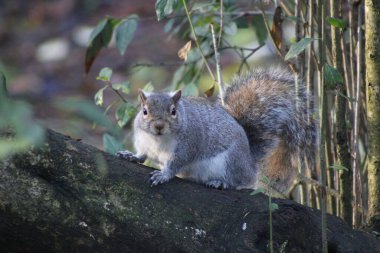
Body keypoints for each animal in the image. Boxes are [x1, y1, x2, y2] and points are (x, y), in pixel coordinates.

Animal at [117, 66, 316, 194]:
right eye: (144, 111)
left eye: (173, 111)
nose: (159, 126)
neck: (158, 140)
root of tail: (250, 163)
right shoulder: (144, 143)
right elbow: (142, 155)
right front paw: (130, 156)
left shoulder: (188, 145)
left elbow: (176, 164)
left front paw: (163, 175)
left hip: (230, 162)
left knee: (241, 182)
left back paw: (221, 183)